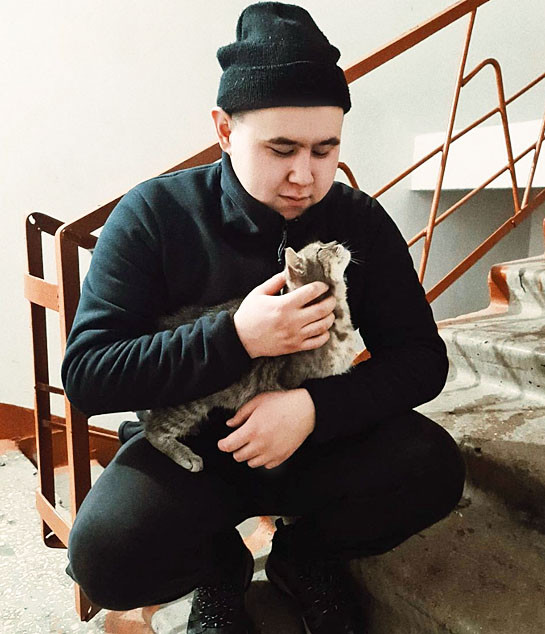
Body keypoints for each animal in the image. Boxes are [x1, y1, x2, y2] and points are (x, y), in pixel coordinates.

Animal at [139, 241, 360, 471]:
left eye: (324, 243)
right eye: (320, 250)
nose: (338, 243)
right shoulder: (292, 380)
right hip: (188, 402)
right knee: (153, 429)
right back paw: (184, 454)